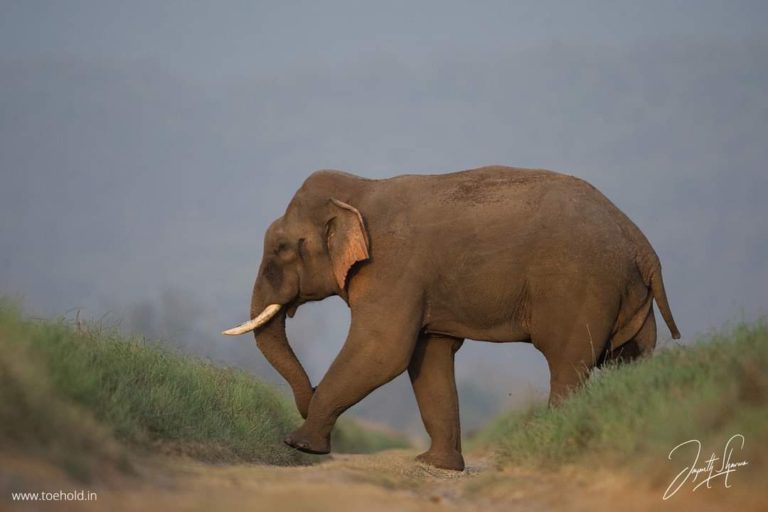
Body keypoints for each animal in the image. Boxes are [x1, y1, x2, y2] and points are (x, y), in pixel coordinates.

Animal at [220, 166, 680, 470]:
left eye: (281, 248)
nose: (308, 395)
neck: (361, 190)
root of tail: (642, 243)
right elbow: (428, 357)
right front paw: (435, 466)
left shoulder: (394, 268)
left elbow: (383, 349)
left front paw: (298, 445)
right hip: (631, 296)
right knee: (629, 360)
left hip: (581, 286)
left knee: (569, 362)